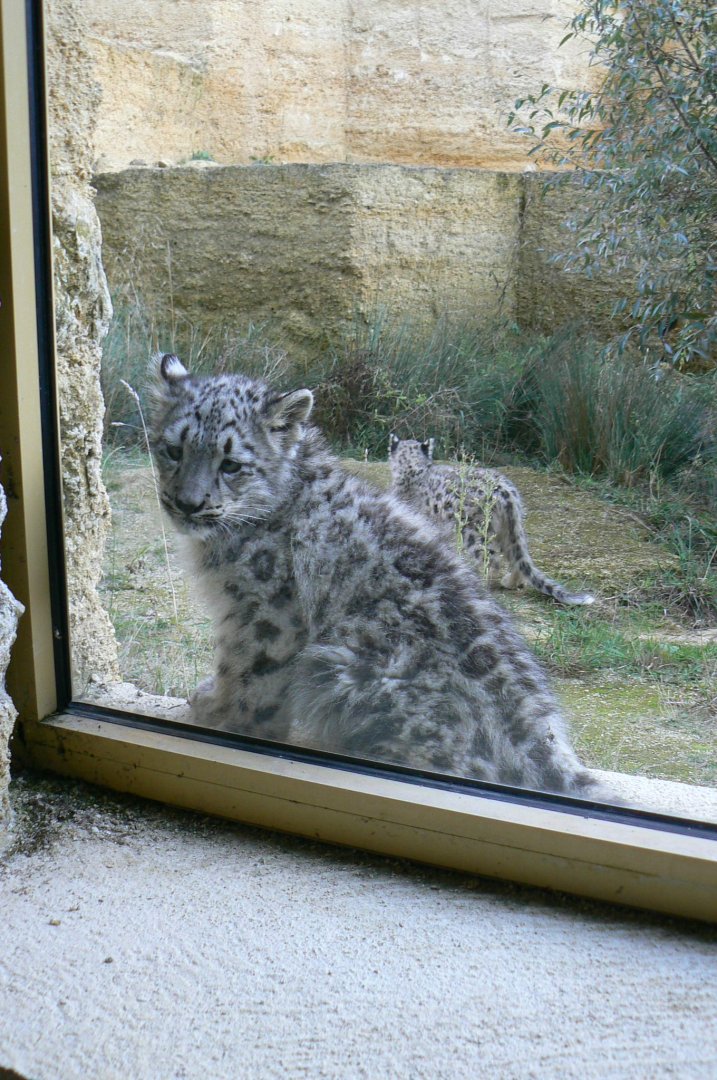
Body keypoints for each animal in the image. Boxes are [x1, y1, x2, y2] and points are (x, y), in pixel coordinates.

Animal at [389, 436, 595, 607]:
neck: (412, 469)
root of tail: (506, 491)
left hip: (473, 530)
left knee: (490, 559)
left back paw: (481, 584)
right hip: (507, 530)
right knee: (517, 557)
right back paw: (510, 582)